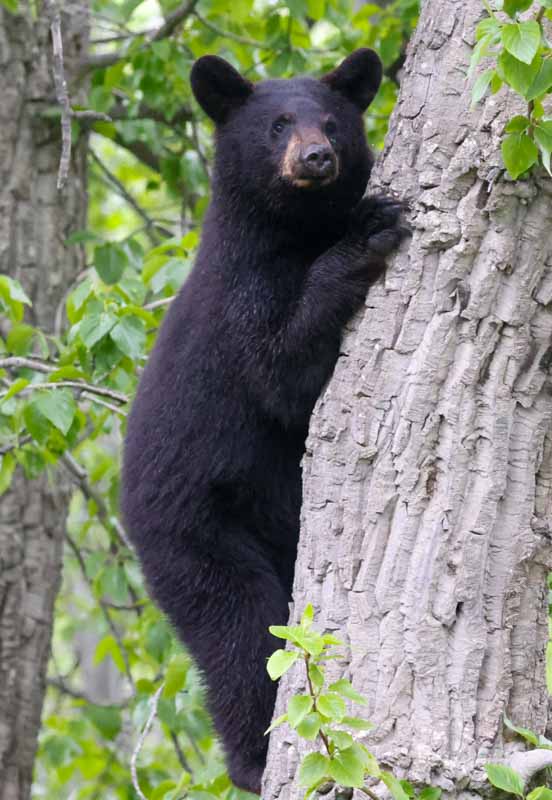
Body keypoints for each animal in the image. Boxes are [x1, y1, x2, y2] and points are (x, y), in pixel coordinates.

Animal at [121, 49, 407, 795]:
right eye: (277, 124)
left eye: (332, 122)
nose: (315, 157)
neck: (294, 231)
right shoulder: (239, 298)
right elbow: (280, 371)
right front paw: (367, 229)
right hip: (200, 538)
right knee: (244, 636)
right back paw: (253, 758)